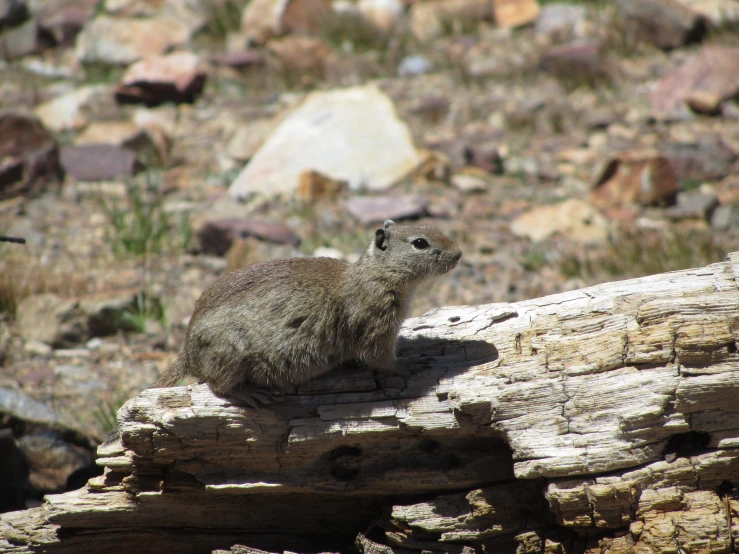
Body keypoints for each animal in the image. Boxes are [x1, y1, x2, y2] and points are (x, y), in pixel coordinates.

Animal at [156, 218, 462, 404]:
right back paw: (251, 394)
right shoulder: (376, 329)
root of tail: (187, 354)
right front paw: (410, 364)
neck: (375, 274)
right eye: (420, 242)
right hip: (230, 357)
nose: (459, 253)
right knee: (217, 386)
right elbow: (383, 359)